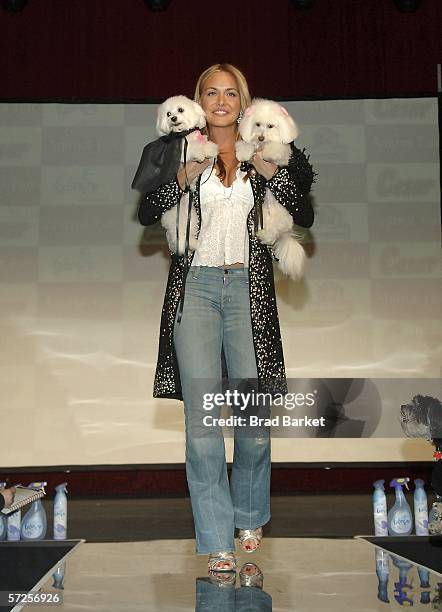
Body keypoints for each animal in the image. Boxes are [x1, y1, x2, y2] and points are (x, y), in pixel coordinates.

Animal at [157, 97, 218, 255]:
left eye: (180, 110)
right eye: (168, 113)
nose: (173, 118)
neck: (183, 134)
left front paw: (211, 148)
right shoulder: (184, 151)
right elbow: (196, 148)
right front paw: (204, 151)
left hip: (192, 218)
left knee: (188, 235)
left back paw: (194, 244)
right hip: (174, 219)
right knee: (178, 237)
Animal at [237, 99, 306, 280]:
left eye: (270, 126)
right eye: (257, 124)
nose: (261, 136)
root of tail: (287, 232)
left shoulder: (282, 153)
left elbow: (275, 149)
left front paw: (268, 152)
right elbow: (248, 145)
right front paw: (243, 152)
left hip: (279, 218)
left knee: (272, 234)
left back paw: (264, 236)